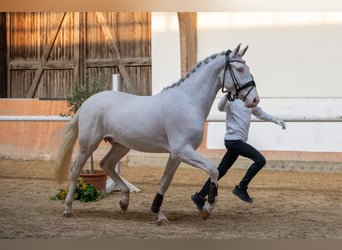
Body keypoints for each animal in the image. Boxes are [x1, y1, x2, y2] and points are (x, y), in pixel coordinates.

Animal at [55, 43, 260, 225]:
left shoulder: (176, 155)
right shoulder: (182, 150)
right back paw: (67, 209)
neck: (188, 102)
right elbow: (213, 170)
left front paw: (158, 213)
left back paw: (124, 200)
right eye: (240, 68)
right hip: (88, 144)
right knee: (75, 170)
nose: (254, 99)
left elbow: (165, 182)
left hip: (121, 145)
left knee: (106, 164)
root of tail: (87, 102)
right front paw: (207, 209)